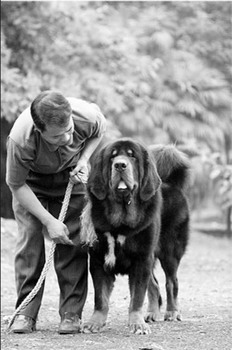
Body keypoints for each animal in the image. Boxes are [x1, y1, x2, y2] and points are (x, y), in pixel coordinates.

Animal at [80, 138, 189, 334]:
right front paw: (95, 322)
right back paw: (152, 313)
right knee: (154, 285)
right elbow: (100, 298)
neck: (120, 223)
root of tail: (173, 184)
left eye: (132, 156)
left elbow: (137, 297)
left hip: (169, 253)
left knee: (171, 282)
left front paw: (137, 324)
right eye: (112, 157)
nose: (120, 165)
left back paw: (172, 312)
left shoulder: (141, 260)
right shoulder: (98, 261)